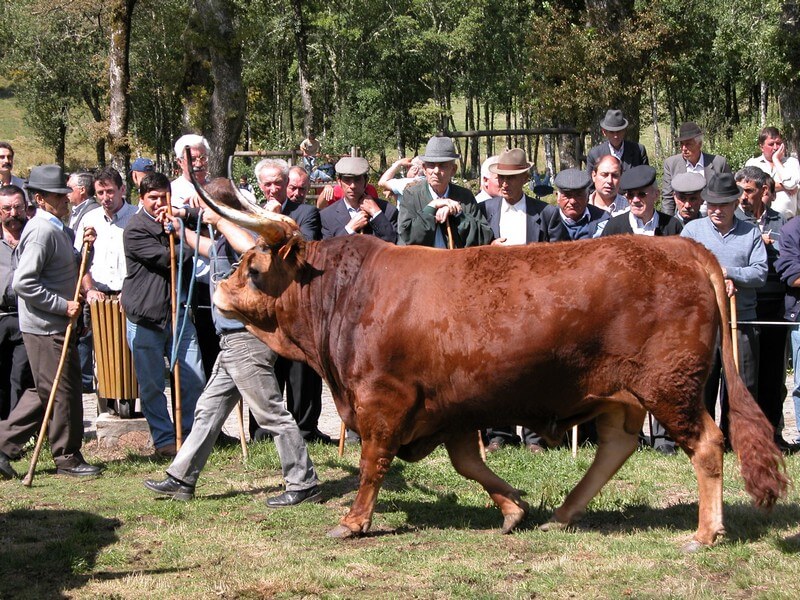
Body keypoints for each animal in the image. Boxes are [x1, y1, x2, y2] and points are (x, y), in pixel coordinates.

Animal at [195, 184, 788, 548]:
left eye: (252, 265)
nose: (217, 289)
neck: (346, 294)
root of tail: (684, 249)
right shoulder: (452, 408)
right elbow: (468, 464)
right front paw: (514, 509)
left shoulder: (383, 401)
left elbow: (372, 464)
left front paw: (353, 521)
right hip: (618, 394)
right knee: (616, 447)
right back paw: (563, 514)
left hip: (670, 386)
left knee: (707, 444)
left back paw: (705, 533)